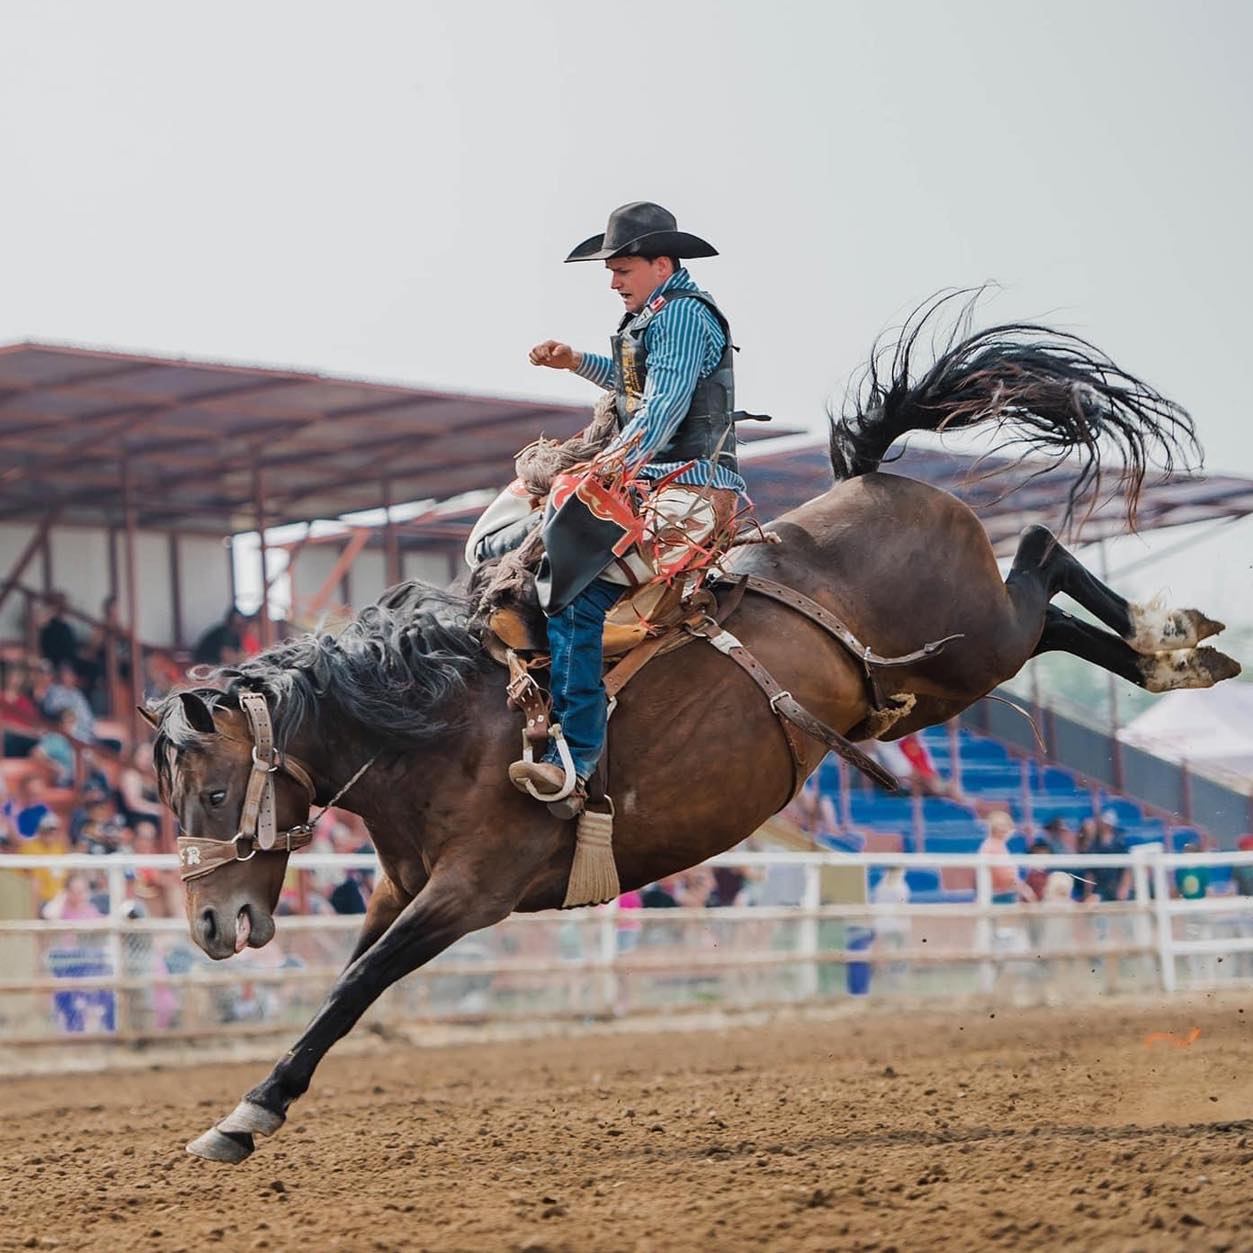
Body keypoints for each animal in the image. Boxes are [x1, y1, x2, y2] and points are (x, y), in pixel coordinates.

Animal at [146, 296, 1239, 1163]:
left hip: (973, 646)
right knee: (1049, 608)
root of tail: (872, 475)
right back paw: (1175, 653)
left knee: (1044, 553)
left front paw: (242, 1116)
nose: (210, 925)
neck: (444, 723)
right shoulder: (400, 887)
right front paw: (249, 1107)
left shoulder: (469, 891)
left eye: (212, 791)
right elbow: (346, 979)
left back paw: (1171, 640)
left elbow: (357, 982)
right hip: (932, 685)